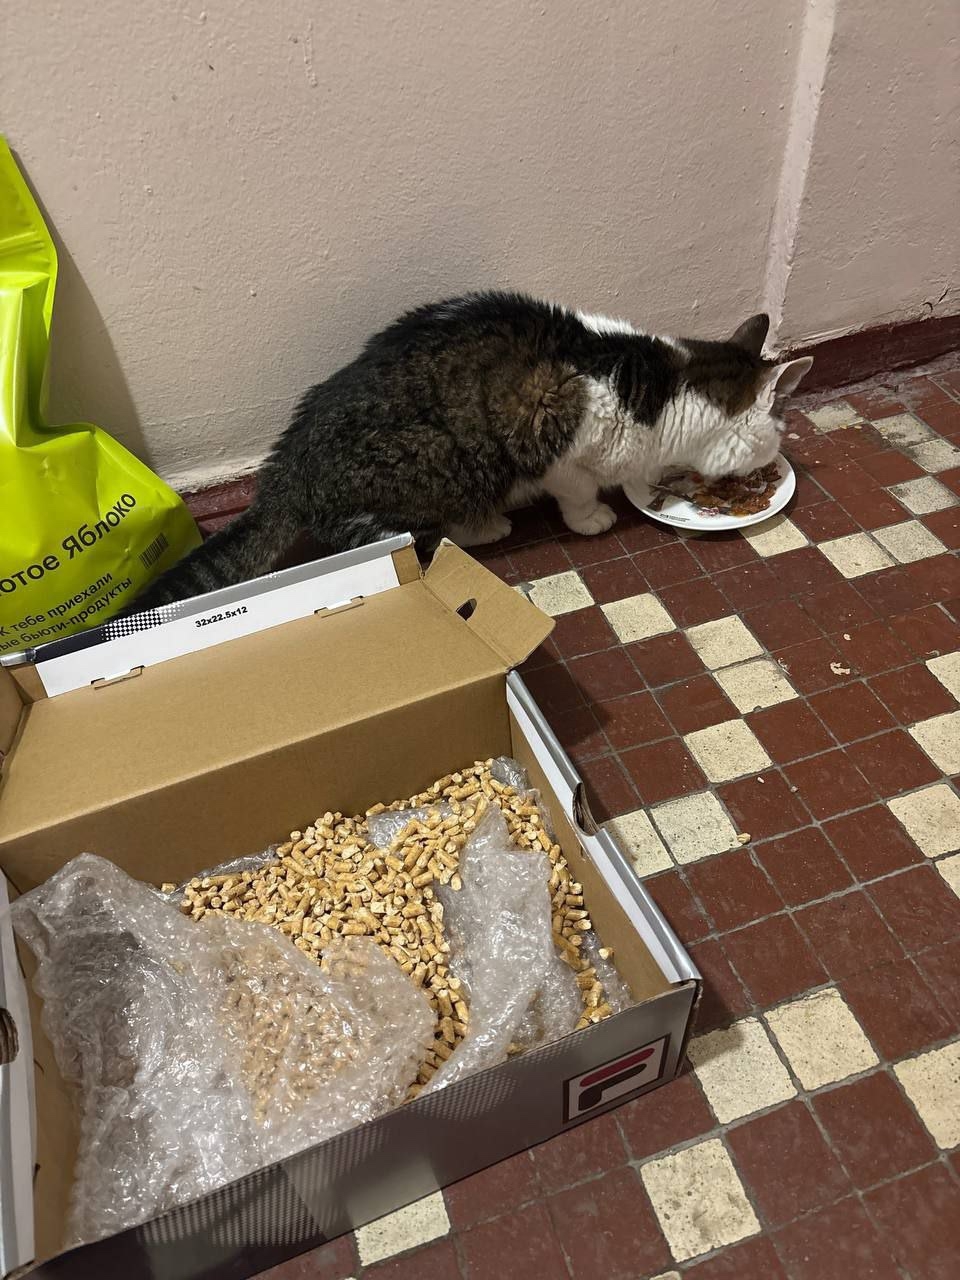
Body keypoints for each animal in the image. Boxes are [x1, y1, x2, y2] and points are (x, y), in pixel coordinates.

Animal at [126, 291, 812, 612]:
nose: (768, 464)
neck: (663, 386)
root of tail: (285, 471)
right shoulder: (557, 443)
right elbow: (577, 491)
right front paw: (593, 518)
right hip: (440, 463)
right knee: (419, 537)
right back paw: (485, 526)